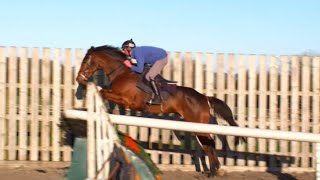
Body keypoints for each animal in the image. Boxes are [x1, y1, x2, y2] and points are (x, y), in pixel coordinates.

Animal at [75, 45, 245, 177]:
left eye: (85, 61)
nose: (78, 79)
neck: (122, 72)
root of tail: (204, 97)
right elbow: (105, 91)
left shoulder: (127, 101)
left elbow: (104, 92)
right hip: (196, 125)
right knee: (208, 144)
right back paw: (215, 169)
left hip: (198, 125)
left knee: (209, 144)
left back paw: (214, 171)